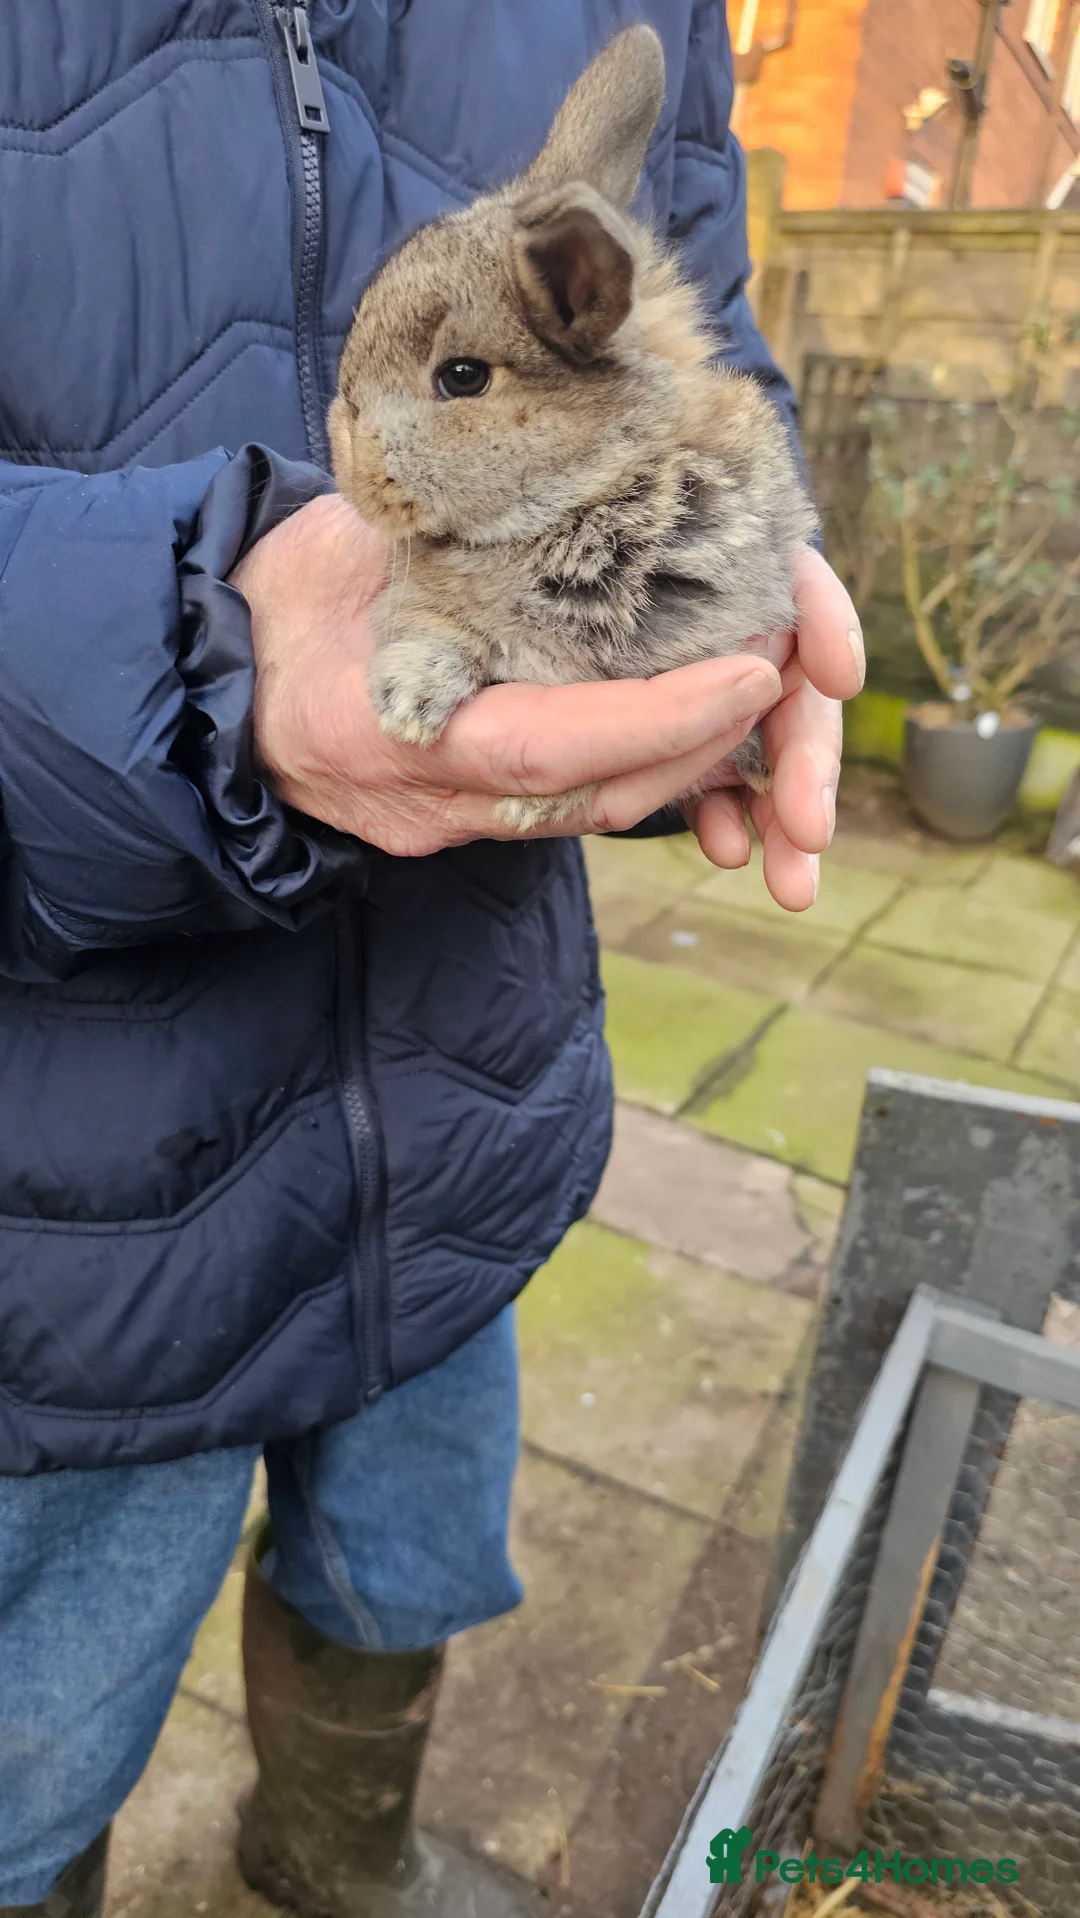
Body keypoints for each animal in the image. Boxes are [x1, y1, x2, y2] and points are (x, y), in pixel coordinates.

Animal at [328, 23, 817, 831]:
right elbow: (438, 630)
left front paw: (529, 804)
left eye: (462, 376)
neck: (584, 494)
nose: (352, 477)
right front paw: (407, 704)